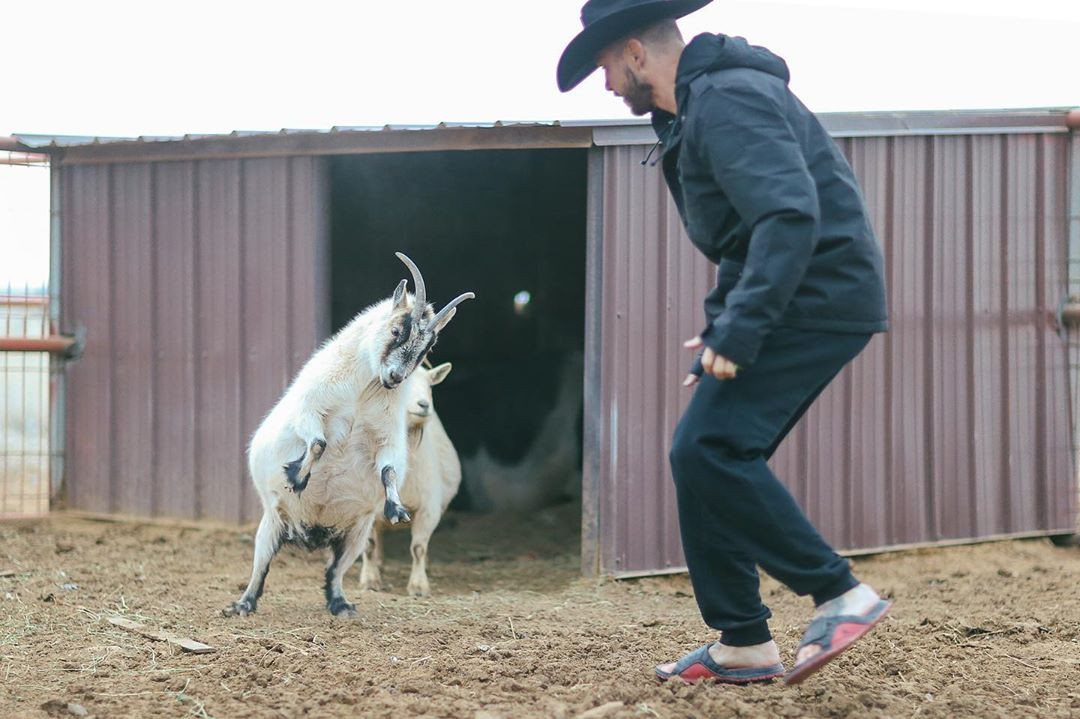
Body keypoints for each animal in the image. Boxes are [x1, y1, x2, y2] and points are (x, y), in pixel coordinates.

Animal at [223, 251, 473, 617]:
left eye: (426, 349)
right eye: (396, 329)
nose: (395, 378)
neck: (363, 392)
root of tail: (311, 531)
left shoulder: (387, 437)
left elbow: (389, 469)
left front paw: (396, 509)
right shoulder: (309, 409)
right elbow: (317, 442)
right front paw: (297, 476)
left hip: (356, 529)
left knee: (336, 570)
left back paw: (340, 604)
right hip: (272, 521)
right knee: (262, 564)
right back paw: (242, 605)